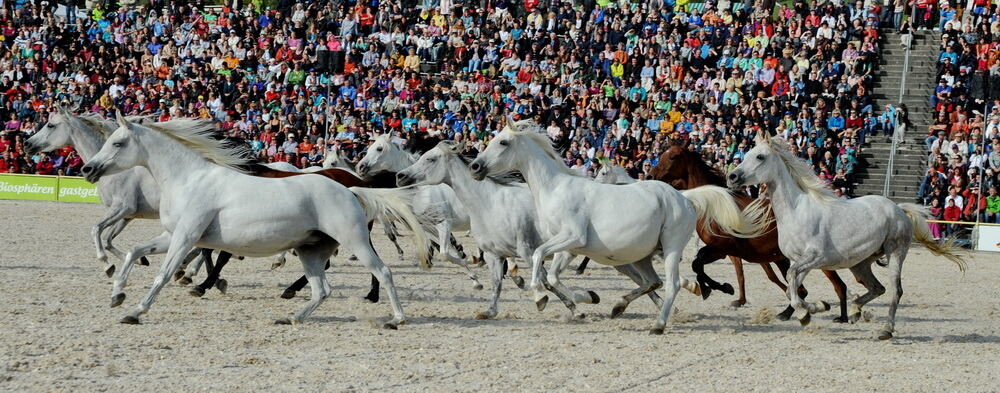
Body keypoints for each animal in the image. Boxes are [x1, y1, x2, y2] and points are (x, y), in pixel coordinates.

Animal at [83, 113, 430, 324]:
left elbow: (164, 274)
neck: (190, 178)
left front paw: (136, 310)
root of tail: (352, 186)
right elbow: (134, 251)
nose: (88, 169)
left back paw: (396, 318)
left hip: (354, 239)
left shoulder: (185, 237)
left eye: (117, 142)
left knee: (382, 271)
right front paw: (117, 294)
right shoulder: (175, 235)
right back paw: (292, 316)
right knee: (322, 289)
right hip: (310, 250)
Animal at [468, 118, 764, 330]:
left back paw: (658, 324)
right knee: (652, 282)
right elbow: (551, 274)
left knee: (671, 284)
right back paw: (618, 306)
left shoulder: (571, 238)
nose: (475, 167)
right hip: (643, 254)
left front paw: (544, 297)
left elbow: (540, 258)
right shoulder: (569, 248)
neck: (555, 188)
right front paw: (583, 298)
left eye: (503, 142)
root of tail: (683, 196)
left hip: (670, 249)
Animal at [724, 134, 964, 336]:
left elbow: (793, 283)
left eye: (760, 156)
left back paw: (885, 330)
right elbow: (792, 290)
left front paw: (808, 312)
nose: (732, 176)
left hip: (895, 253)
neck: (796, 211)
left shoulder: (815, 258)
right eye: (746, 154)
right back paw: (856, 311)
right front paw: (815, 309)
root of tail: (898, 209)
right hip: (860, 263)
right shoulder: (799, 261)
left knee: (895, 291)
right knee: (877, 288)